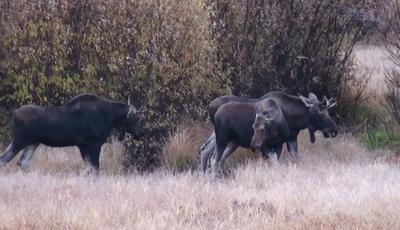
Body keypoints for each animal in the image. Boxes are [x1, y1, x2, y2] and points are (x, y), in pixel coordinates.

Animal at [0, 92, 144, 172]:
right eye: (136, 118)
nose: (139, 134)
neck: (109, 117)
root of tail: (13, 115)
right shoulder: (94, 143)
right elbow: (96, 168)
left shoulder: (83, 146)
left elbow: (90, 168)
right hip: (20, 140)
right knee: (4, 159)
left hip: (33, 143)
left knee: (23, 162)